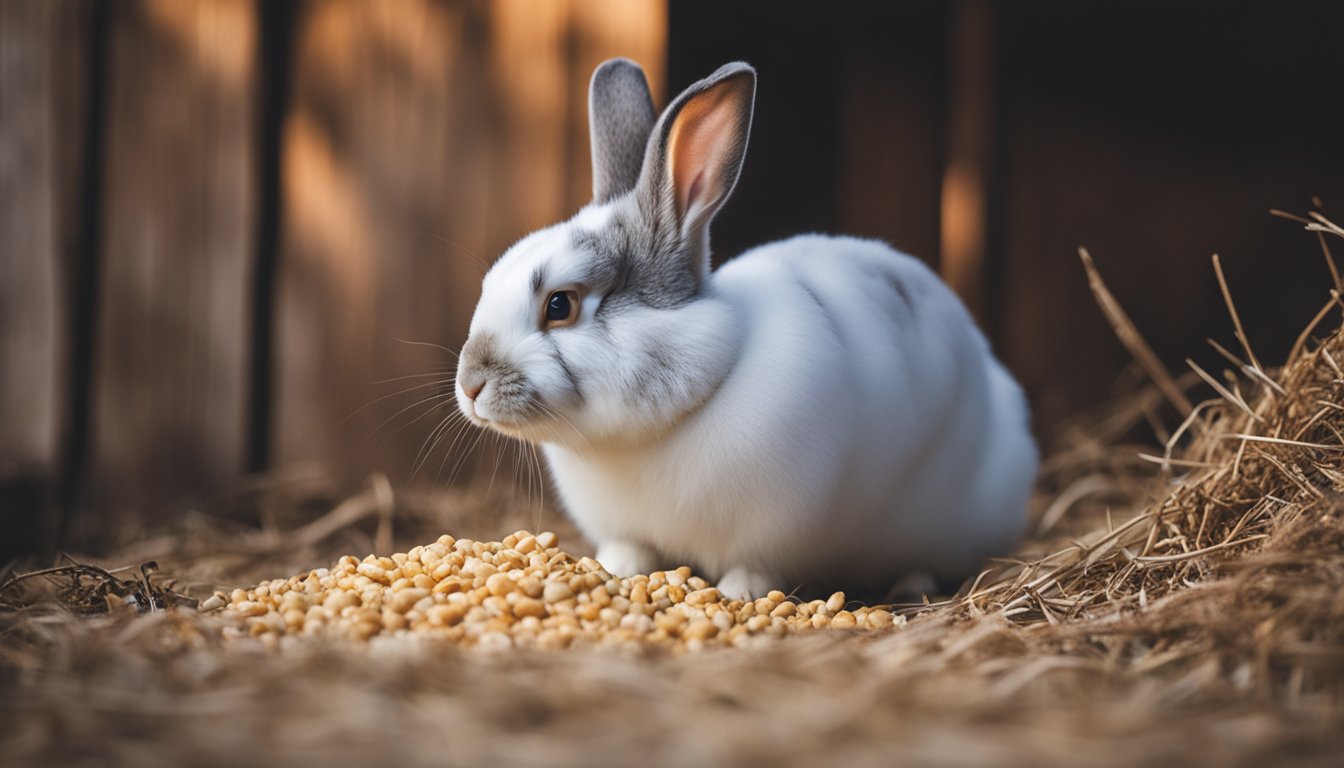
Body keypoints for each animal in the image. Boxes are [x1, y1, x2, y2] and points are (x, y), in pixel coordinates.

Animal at [454, 58, 1039, 600]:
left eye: (560, 305)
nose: (471, 386)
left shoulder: (775, 529)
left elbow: (753, 569)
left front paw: (739, 594)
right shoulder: (624, 527)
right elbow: (629, 551)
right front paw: (615, 570)